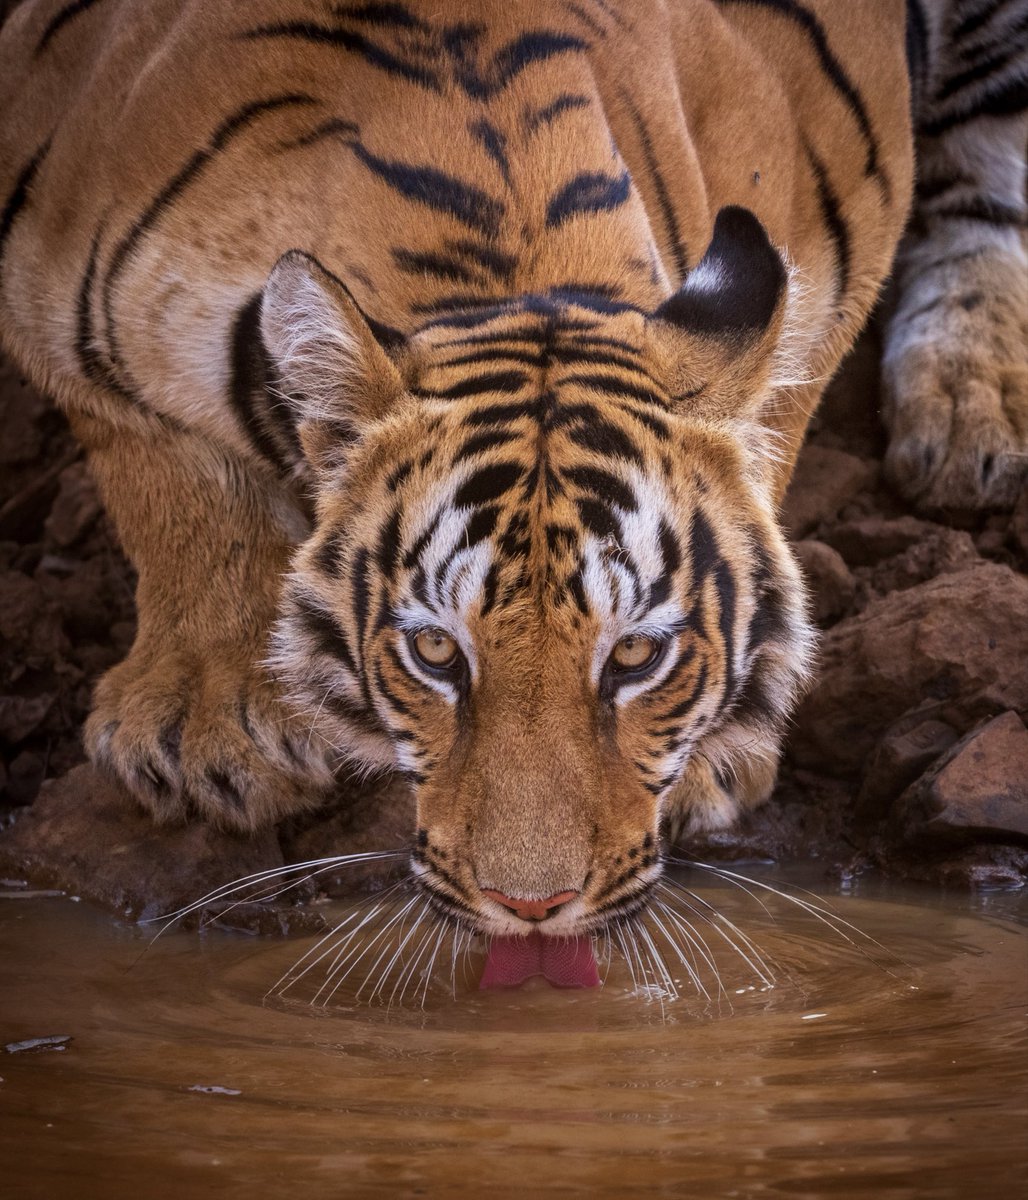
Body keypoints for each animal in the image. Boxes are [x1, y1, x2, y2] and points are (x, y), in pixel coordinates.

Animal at [0, 0, 1024, 938]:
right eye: (435, 652)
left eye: (638, 655)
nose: (533, 908)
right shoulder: (47, 287)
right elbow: (164, 472)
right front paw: (206, 726)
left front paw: (715, 753)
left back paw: (972, 417)